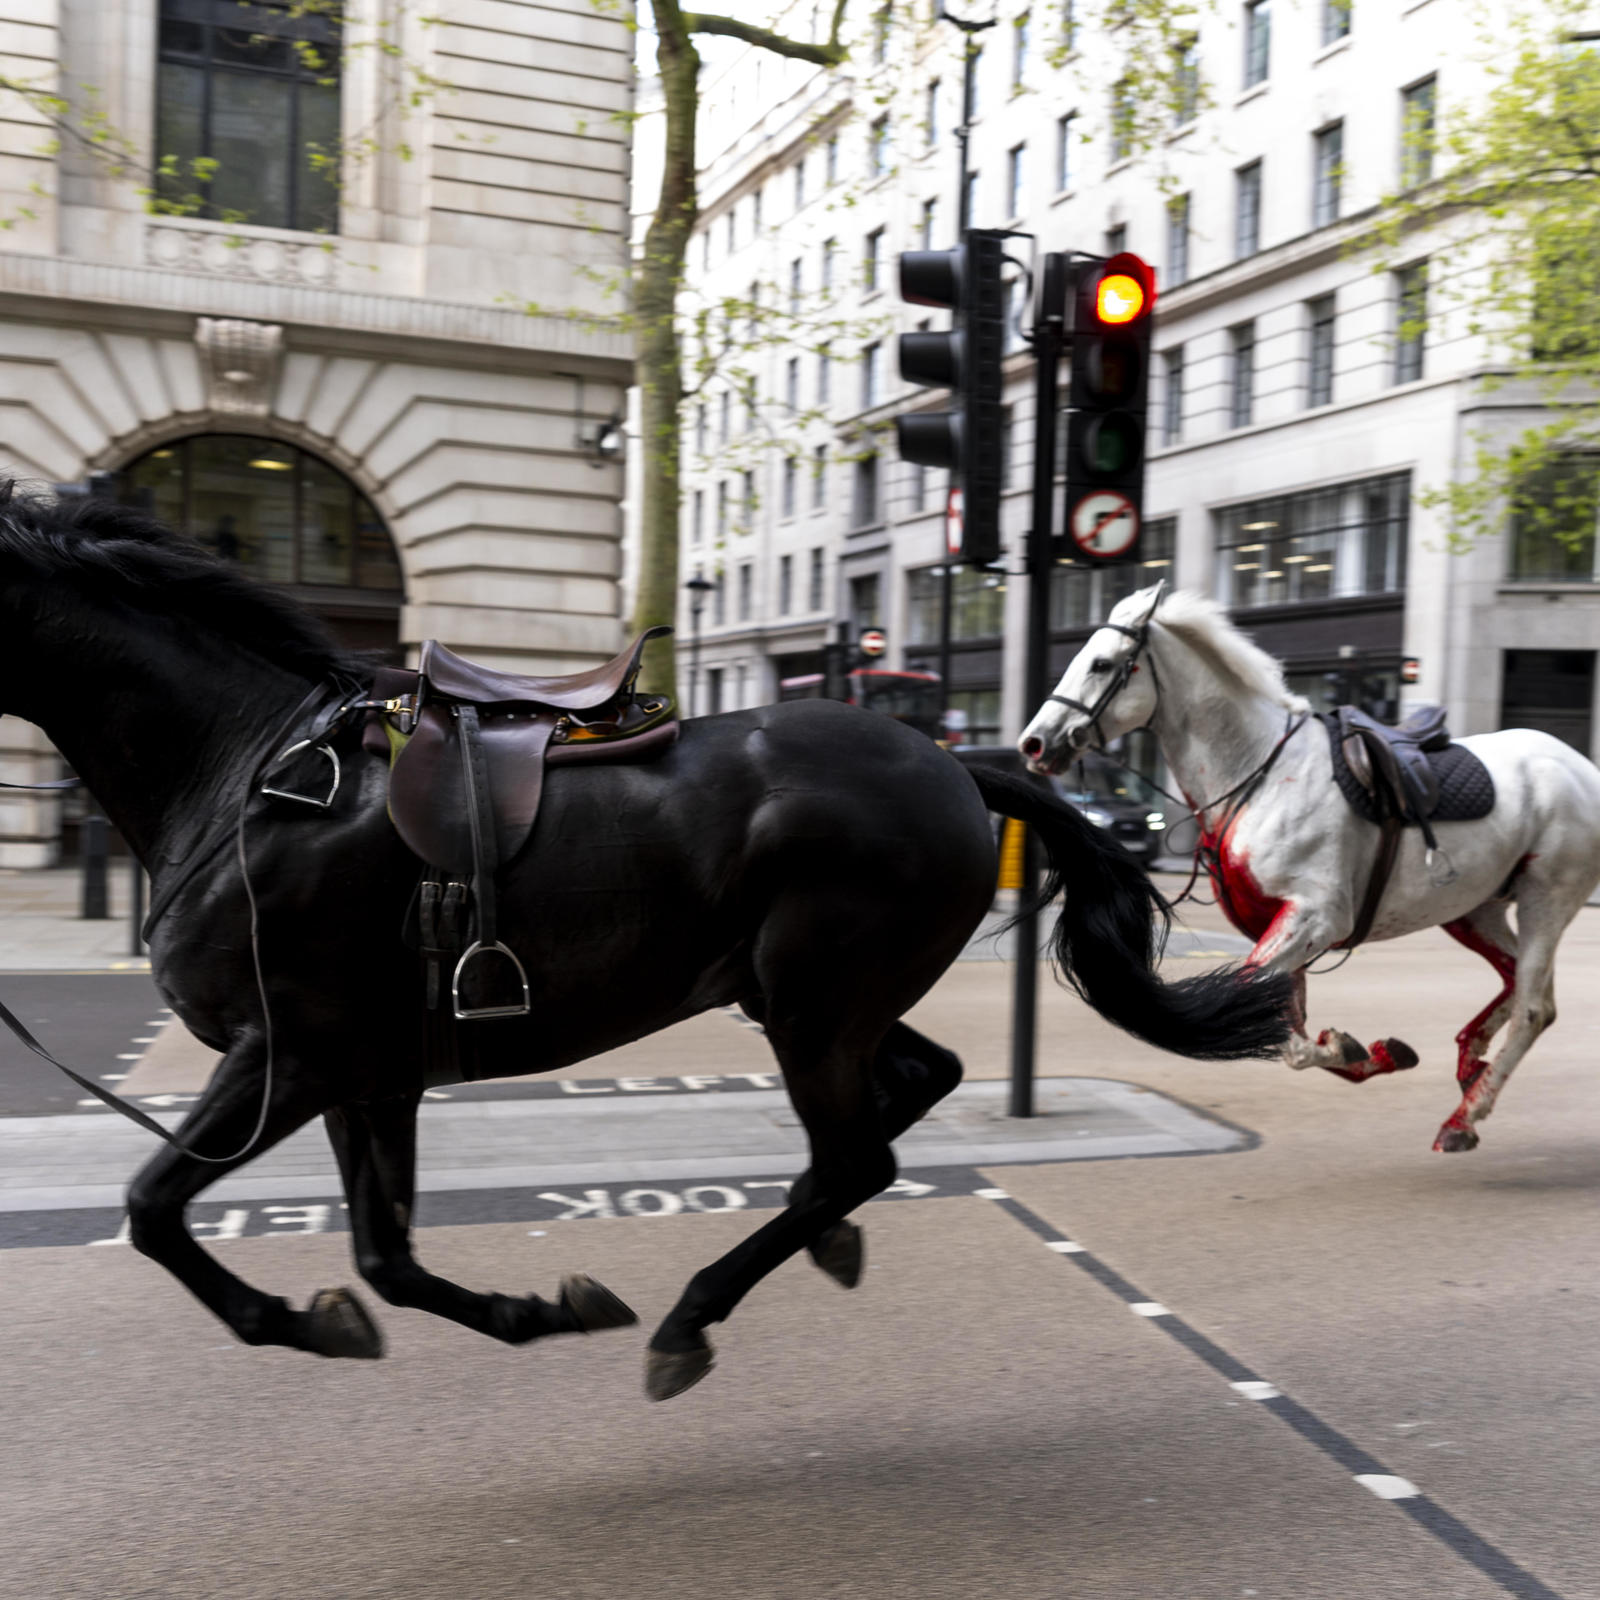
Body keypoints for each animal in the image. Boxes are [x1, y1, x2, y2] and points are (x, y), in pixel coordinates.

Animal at [0, 496, 1292, 1401]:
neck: (253, 773)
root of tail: (950, 761)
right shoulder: (369, 1074)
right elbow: (383, 1256)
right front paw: (525, 1309)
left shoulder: (288, 1055)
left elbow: (155, 1206)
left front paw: (296, 1319)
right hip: (799, 997)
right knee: (906, 1095)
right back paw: (816, 1241)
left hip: (811, 999)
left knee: (852, 1156)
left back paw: (697, 1312)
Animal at [1017, 585, 1600, 1152]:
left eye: (1101, 663)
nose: (1034, 742)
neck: (1262, 774)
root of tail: (1581, 765)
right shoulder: (1283, 923)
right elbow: (1284, 1025)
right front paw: (1371, 1052)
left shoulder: (1315, 917)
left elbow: (1286, 1036)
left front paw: (1348, 1048)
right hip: (1474, 909)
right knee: (1518, 983)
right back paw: (1470, 1064)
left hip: (1546, 898)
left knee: (1533, 1008)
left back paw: (1465, 1116)